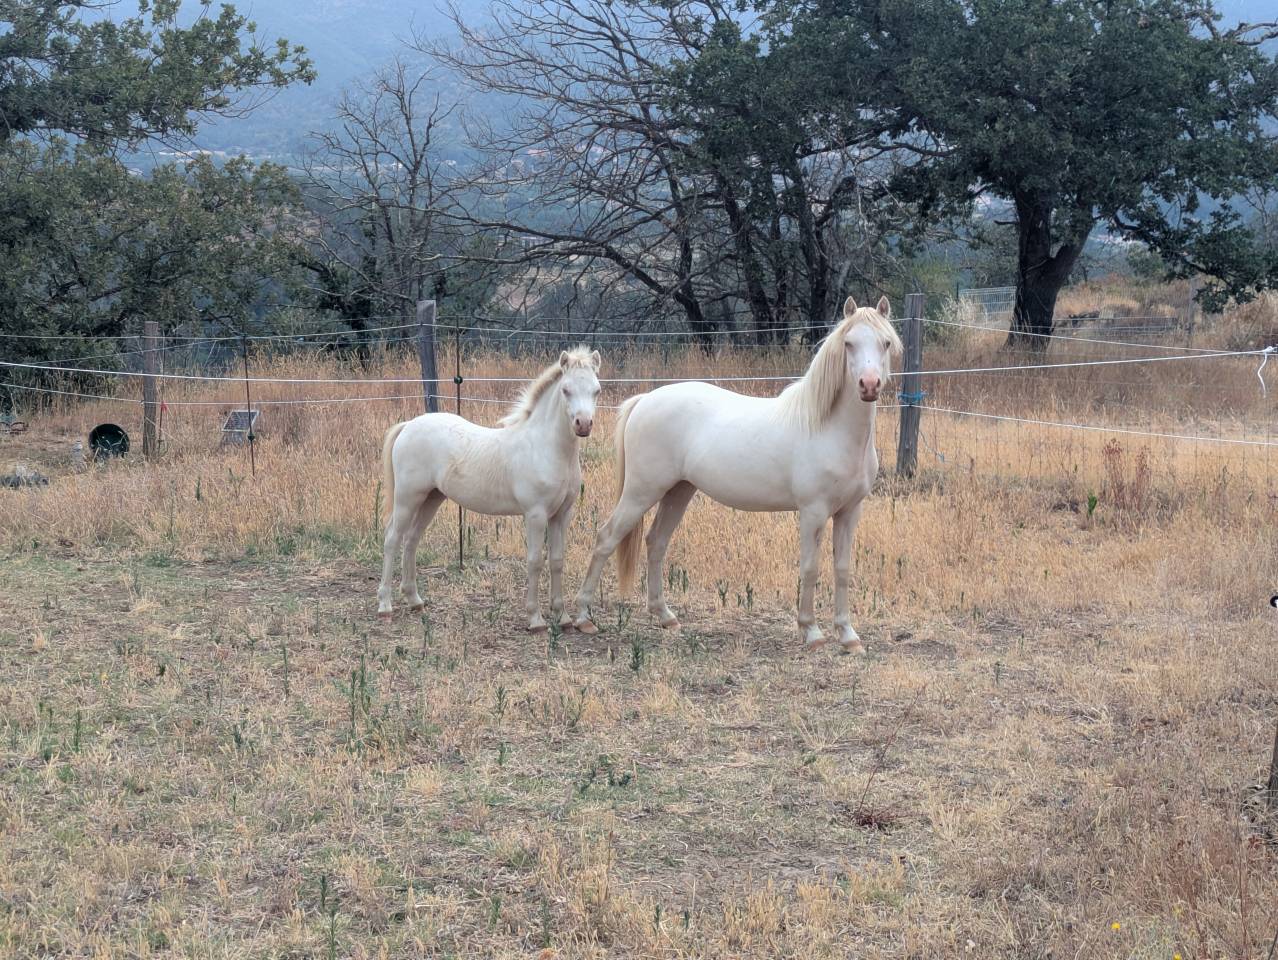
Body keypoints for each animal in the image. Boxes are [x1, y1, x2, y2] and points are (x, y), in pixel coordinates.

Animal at [377, 347, 602, 630]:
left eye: (596, 390)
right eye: (566, 390)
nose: (583, 424)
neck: (545, 448)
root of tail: (408, 425)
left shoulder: (562, 514)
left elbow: (557, 561)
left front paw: (561, 617)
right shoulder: (536, 514)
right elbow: (535, 561)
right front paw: (536, 619)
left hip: (431, 498)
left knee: (411, 539)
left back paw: (415, 600)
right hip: (408, 498)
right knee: (392, 539)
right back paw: (385, 605)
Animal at [572, 297, 901, 653]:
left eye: (885, 343)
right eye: (849, 343)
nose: (869, 386)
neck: (830, 429)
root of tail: (646, 399)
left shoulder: (850, 511)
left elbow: (842, 569)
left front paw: (848, 636)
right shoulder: (813, 512)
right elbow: (811, 568)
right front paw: (812, 632)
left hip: (678, 492)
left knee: (656, 542)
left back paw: (665, 616)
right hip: (641, 492)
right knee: (606, 538)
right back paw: (582, 618)